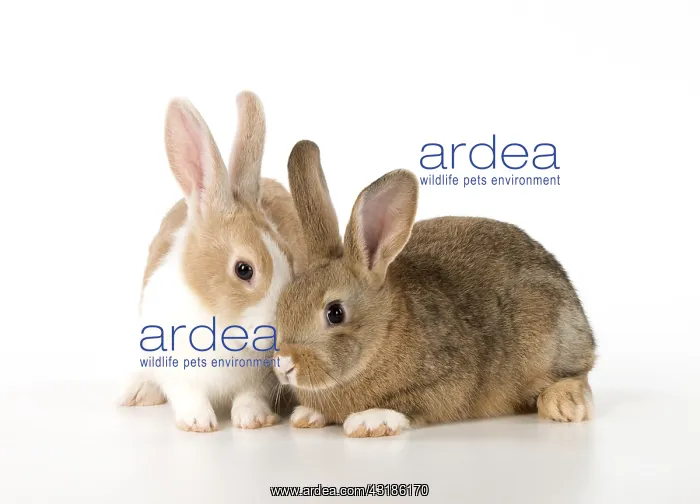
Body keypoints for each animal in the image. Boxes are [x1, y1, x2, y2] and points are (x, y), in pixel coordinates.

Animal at [117, 92, 306, 432]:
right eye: (244, 269)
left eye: (289, 258)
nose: (282, 331)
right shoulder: (173, 366)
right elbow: (188, 394)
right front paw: (198, 423)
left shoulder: (260, 379)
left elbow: (249, 396)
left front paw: (254, 420)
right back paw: (138, 392)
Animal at [272, 140, 596, 438]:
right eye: (282, 304)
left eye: (335, 313)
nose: (284, 363)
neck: (384, 333)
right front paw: (307, 415)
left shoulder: (447, 382)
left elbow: (412, 403)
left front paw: (369, 421)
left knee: (578, 376)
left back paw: (563, 405)